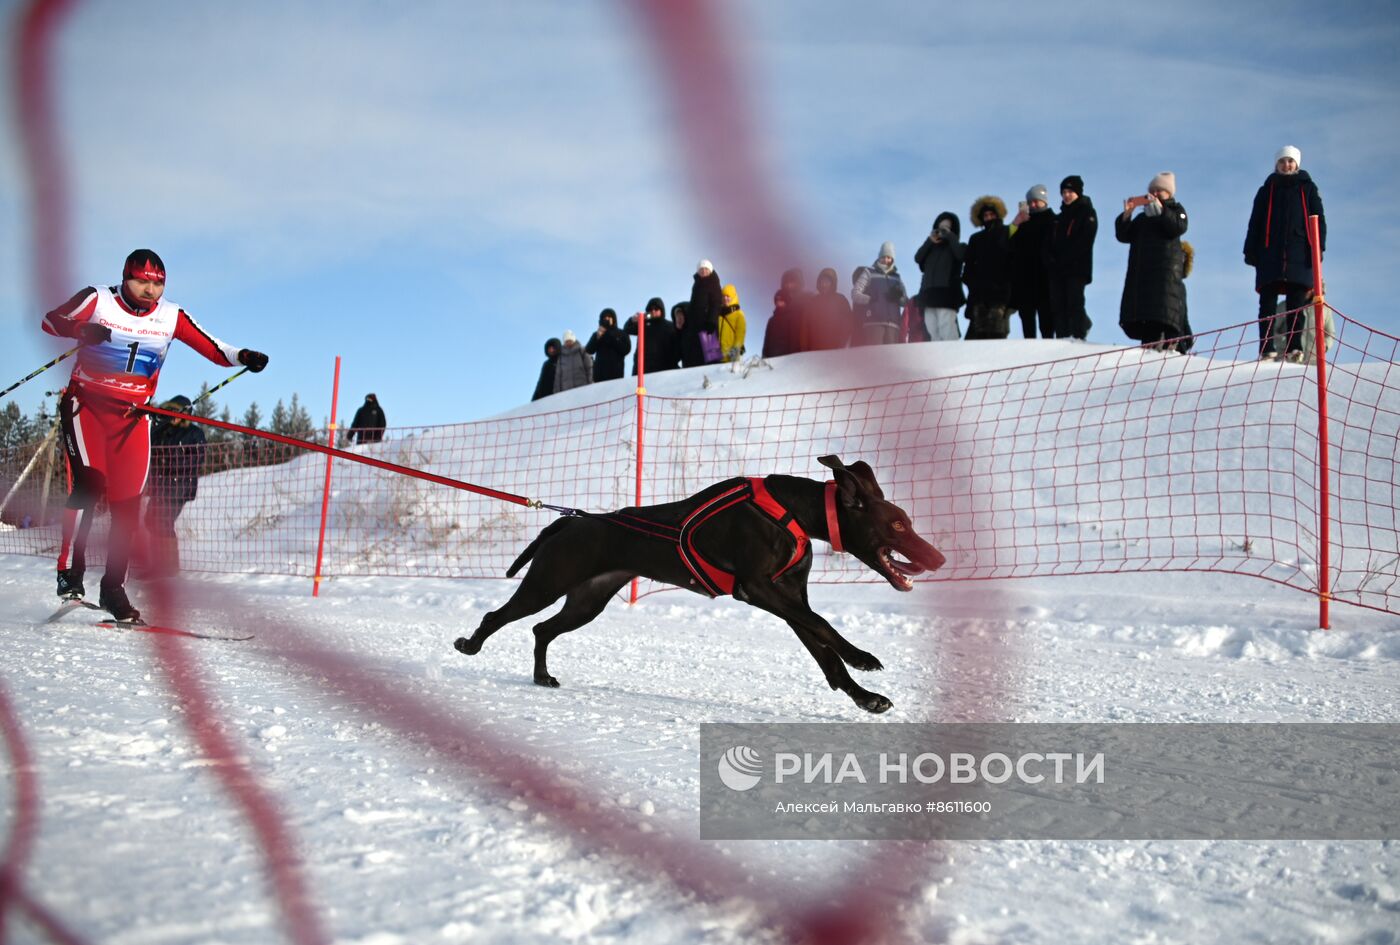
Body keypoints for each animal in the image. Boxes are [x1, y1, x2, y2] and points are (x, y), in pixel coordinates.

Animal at [453, 456, 946, 711]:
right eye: (898, 525)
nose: (939, 558)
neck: (792, 512)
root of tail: (569, 522)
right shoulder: (759, 590)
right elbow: (825, 626)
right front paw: (862, 657)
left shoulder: (789, 600)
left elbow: (825, 655)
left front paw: (864, 697)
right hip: (547, 584)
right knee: (498, 615)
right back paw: (470, 645)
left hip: (586, 602)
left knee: (542, 629)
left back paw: (541, 677)